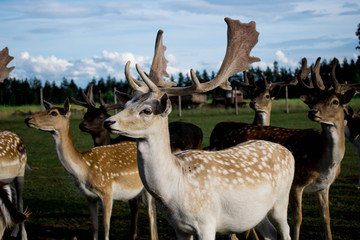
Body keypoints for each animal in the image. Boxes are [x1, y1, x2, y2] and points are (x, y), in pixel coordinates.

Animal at [23, 98, 156, 240]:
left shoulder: (107, 192)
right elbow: (94, 226)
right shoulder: (90, 197)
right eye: (47, 109)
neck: (84, 169)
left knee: (151, 215)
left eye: (54, 113)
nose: (28, 119)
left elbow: (106, 227)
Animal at [208, 57, 360, 239]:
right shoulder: (297, 182)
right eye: (315, 99)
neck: (322, 160)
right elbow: (297, 219)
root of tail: (226, 137)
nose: (312, 112)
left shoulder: (324, 187)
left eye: (335, 101)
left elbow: (326, 218)